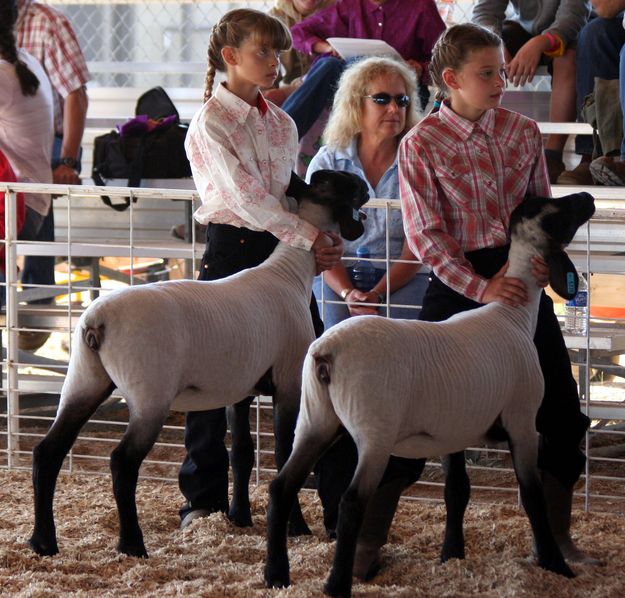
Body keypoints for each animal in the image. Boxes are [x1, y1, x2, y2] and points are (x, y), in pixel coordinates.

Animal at [29, 170, 368, 564]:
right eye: (349, 186)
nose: (367, 189)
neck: (289, 274)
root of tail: (96, 322)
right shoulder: (289, 385)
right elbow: (285, 454)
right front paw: (295, 526)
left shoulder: (240, 389)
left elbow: (242, 453)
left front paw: (239, 517)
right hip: (149, 394)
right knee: (122, 462)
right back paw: (132, 545)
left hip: (83, 382)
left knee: (47, 452)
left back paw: (43, 542)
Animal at [264, 192, 596, 598]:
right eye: (557, 214)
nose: (588, 197)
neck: (514, 316)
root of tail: (327, 352)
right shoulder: (521, 421)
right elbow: (532, 494)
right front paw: (554, 564)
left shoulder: (454, 430)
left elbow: (456, 491)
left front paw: (452, 555)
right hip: (374, 433)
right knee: (351, 502)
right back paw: (337, 584)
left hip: (315, 421)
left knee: (282, 486)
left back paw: (276, 575)